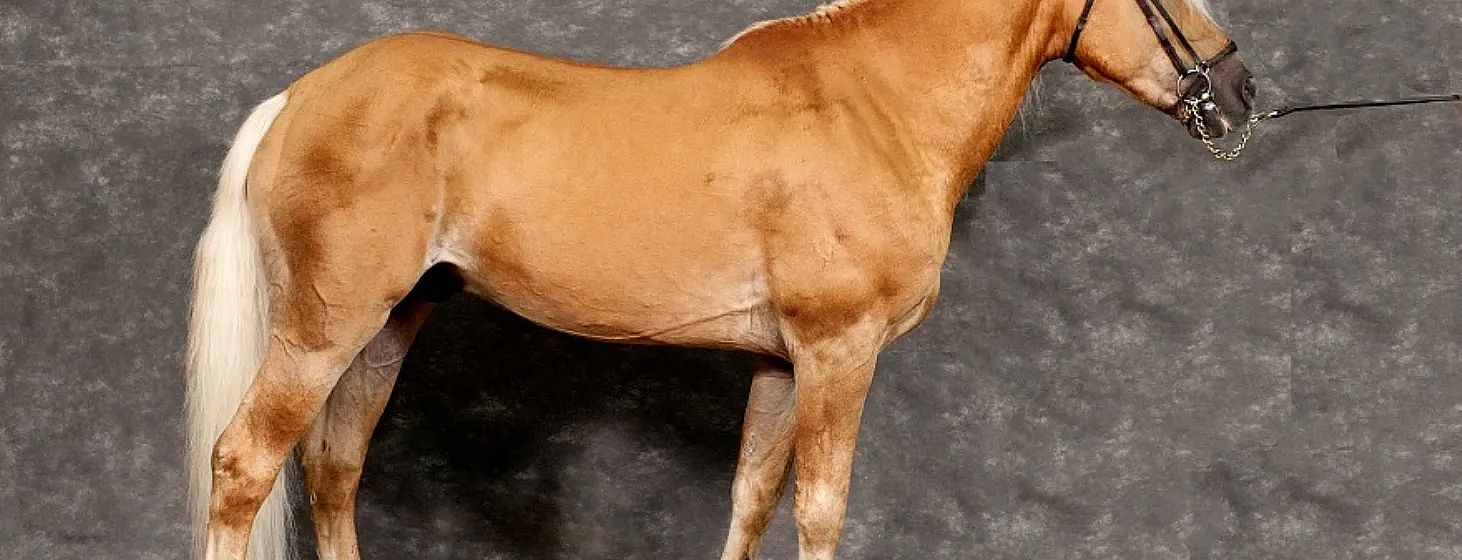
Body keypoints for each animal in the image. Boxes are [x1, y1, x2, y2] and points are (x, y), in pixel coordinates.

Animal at [184, 0, 1254, 558]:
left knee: (335, 467)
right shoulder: (838, 353)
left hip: (392, 322)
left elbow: (752, 498)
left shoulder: (782, 364)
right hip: (324, 327)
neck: (873, 107)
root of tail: (300, 96)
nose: (1242, 91)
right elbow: (820, 507)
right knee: (246, 464)